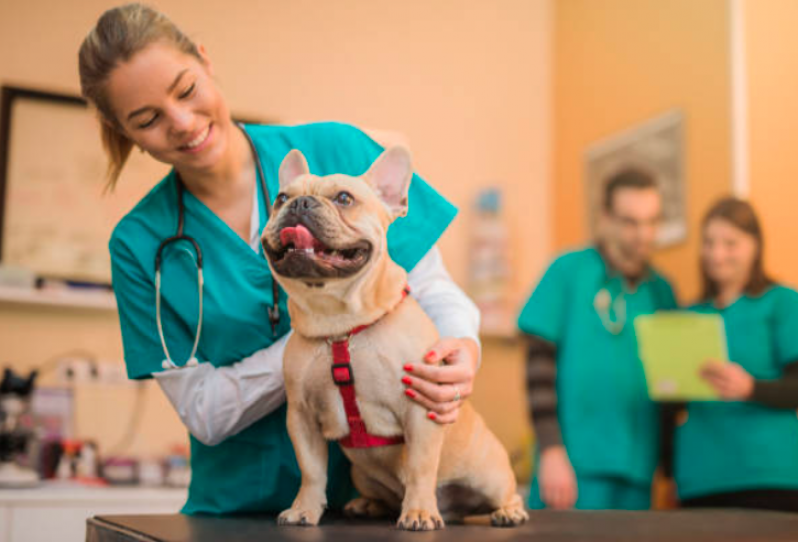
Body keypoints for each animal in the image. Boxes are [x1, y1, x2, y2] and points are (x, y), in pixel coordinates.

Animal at [260, 147, 528, 532]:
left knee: (507, 493)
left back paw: (507, 511)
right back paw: (367, 505)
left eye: (344, 198)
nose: (300, 204)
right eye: (281, 198)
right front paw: (303, 509)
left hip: (489, 475)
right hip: (361, 474)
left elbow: (419, 468)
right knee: (382, 495)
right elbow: (311, 471)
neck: (340, 324)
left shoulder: (421, 411)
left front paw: (418, 513)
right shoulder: (302, 417)